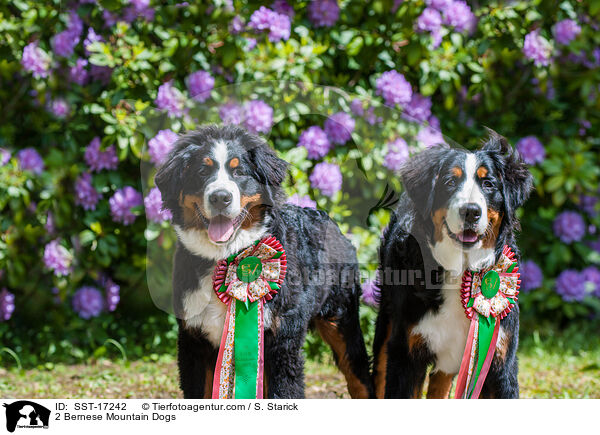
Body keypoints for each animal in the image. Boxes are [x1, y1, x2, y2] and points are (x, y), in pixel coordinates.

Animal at [152, 124, 372, 400]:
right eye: (202, 171)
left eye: (239, 172)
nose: (220, 197)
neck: (228, 259)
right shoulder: (193, 340)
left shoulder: (282, 340)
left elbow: (284, 393)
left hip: (342, 319)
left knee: (359, 377)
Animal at [372, 132, 532, 398]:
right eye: (449, 182)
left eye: (488, 184)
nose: (471, 211)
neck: (462, 274)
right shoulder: (406, 355)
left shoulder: (500, 361)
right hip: (388, 322)